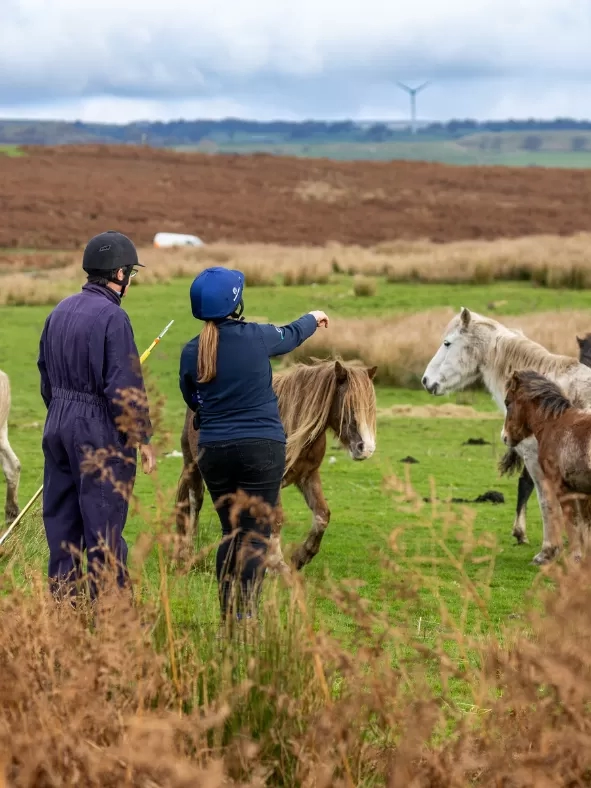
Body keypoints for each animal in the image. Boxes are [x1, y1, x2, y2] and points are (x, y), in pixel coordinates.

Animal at [175, 358, 378, 572]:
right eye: (349, 405)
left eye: (371, 407)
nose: (366, 448)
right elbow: (276, 519)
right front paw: (276, 564)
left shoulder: (308, 475)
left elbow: (322, 515)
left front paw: (302, 556)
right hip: (193, 467)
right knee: (193, 504)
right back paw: (187, 553)